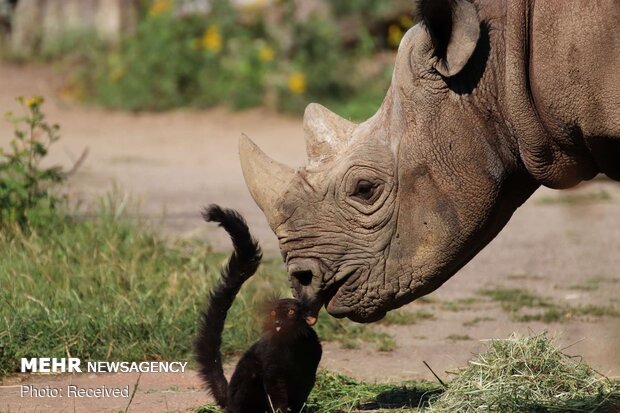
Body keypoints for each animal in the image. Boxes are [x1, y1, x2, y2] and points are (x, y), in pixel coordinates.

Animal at [195, 204, 322, 410]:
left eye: (291, 312)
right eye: (273, 313)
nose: (278, 323)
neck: (292, 346)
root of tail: (229, 399)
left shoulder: (311, 363)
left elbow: (302, 392)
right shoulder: (272, 364)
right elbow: (275, 389)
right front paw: (282, 411)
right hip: (247, 383)